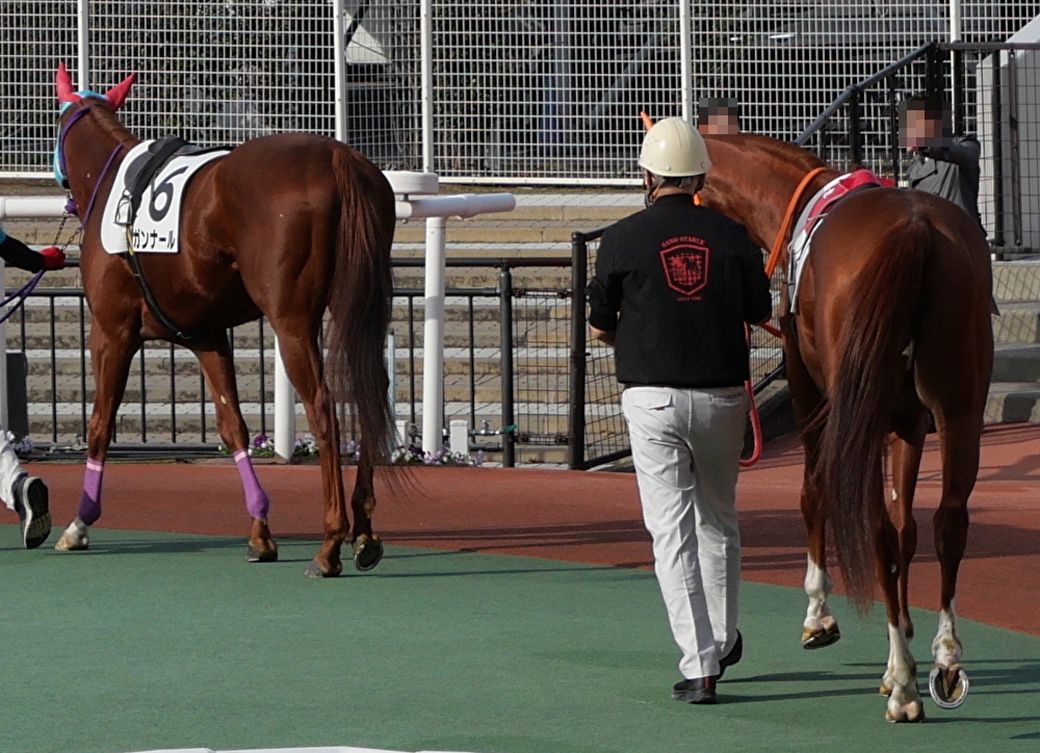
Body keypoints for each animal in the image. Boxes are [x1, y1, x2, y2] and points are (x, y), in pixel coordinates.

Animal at [50, 63, 398, 578]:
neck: (113, 179)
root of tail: (339, 157)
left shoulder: (111, 333)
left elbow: (99, 424)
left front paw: (79, 522)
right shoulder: (208, 336)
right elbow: (232, 424)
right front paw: (260, 532)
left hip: (291, 323)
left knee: (324, 407)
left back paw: (331, 541)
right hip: (358, 302)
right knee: (367, 387)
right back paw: (365, 533)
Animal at [697, 133, 993, 721]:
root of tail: (916, 229)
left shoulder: (813, 391)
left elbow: (816, 494)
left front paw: (820, 614)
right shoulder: (908, 422)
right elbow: (906, 531)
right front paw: (903, 638)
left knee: (871, 527)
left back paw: (903, 687)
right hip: (959, 407)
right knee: (947, 523)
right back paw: (944, 660)